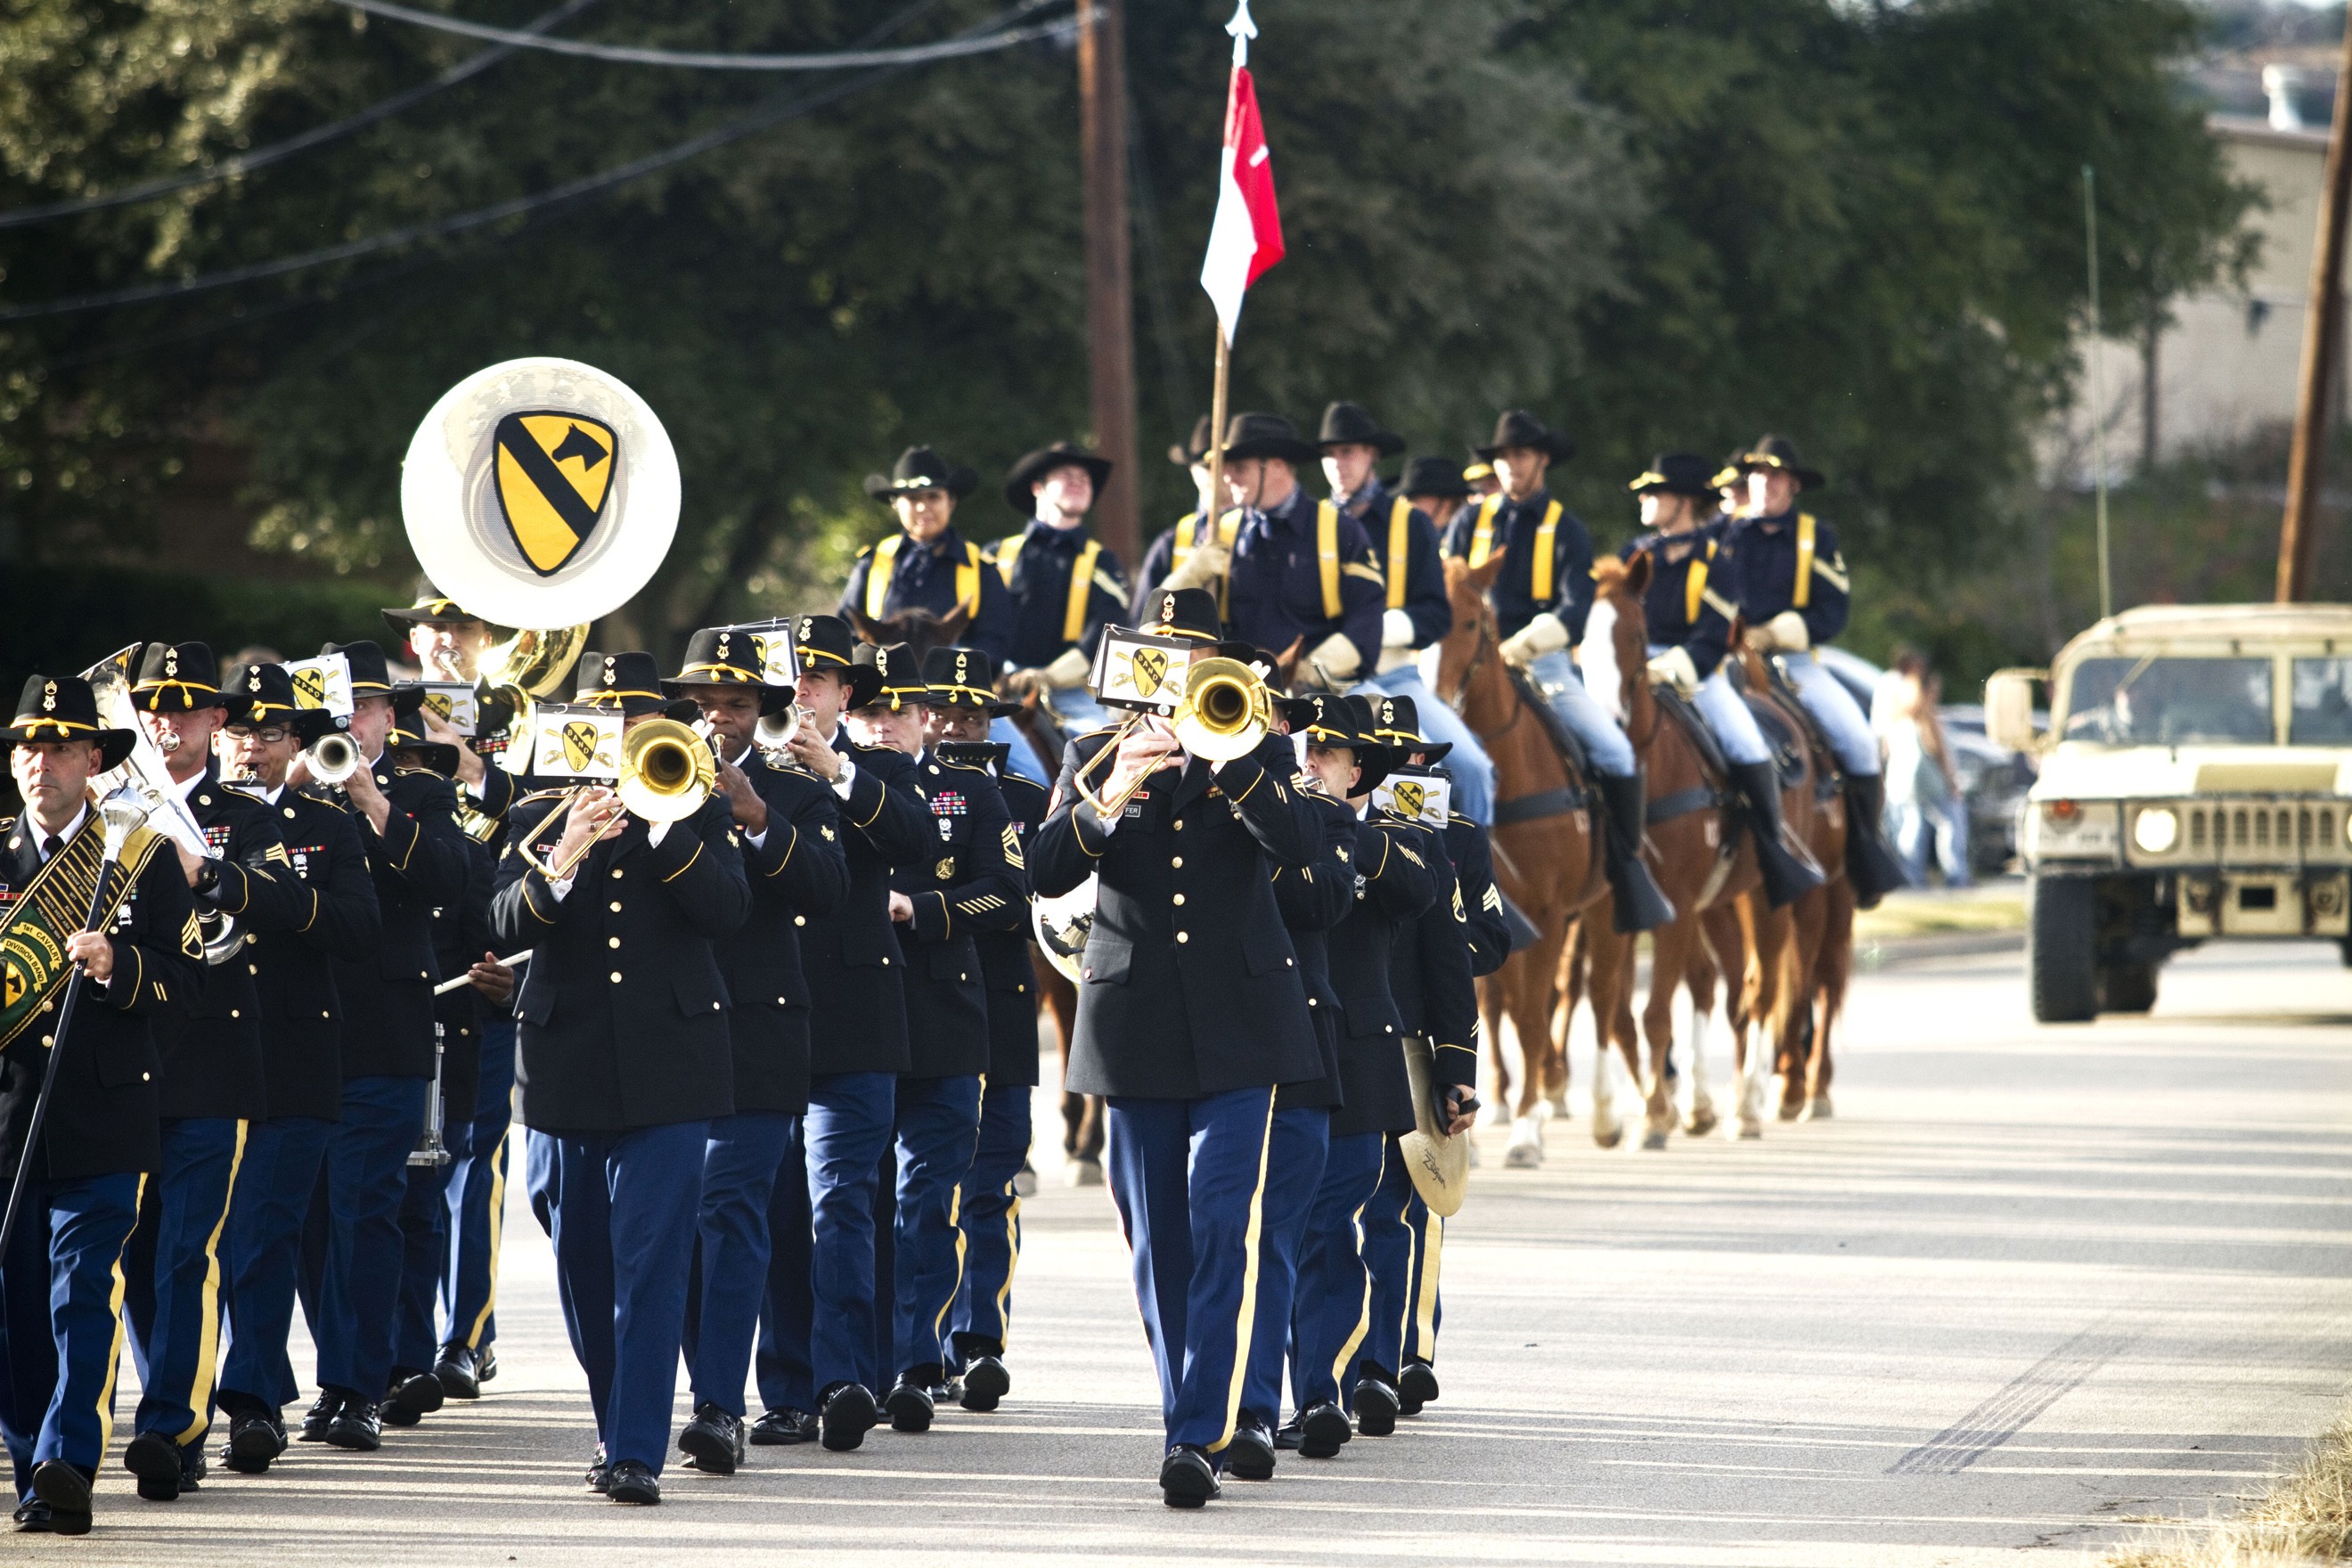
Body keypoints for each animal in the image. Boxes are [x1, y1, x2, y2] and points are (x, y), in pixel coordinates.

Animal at [1420, 552, 1608, 1165]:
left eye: (1470, 623)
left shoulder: (1545, 917)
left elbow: (1532, 1016)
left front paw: (1527, 1130)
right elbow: (1480, 1005)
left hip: (1597, 914)